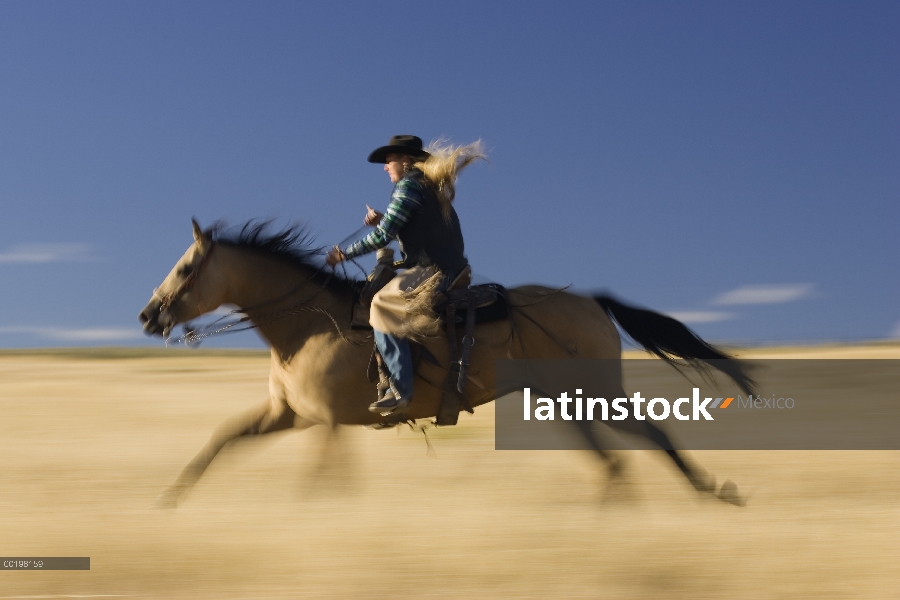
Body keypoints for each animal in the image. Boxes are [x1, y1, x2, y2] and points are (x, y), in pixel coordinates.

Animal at [141, 220, 756, 506]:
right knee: (615, 463)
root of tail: (592, 301)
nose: (149, 315)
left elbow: (323, 482)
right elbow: (221, 439)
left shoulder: (328, 423)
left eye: (187, 268)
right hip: (567, 404)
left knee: (650, 437)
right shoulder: (289, 416)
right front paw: (170, 499)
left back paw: (709, 494)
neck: (307, 324)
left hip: (594, 395)